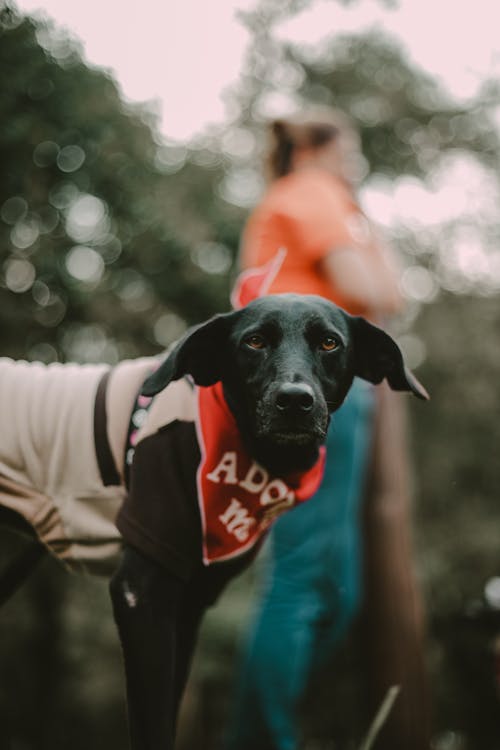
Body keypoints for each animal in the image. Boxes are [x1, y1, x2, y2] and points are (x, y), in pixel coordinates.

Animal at [0, 296, 426, 750]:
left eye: (329, 343)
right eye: (254, 341)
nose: (294, 400)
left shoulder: (189, 603)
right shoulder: (142, 591)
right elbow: (152, 724)